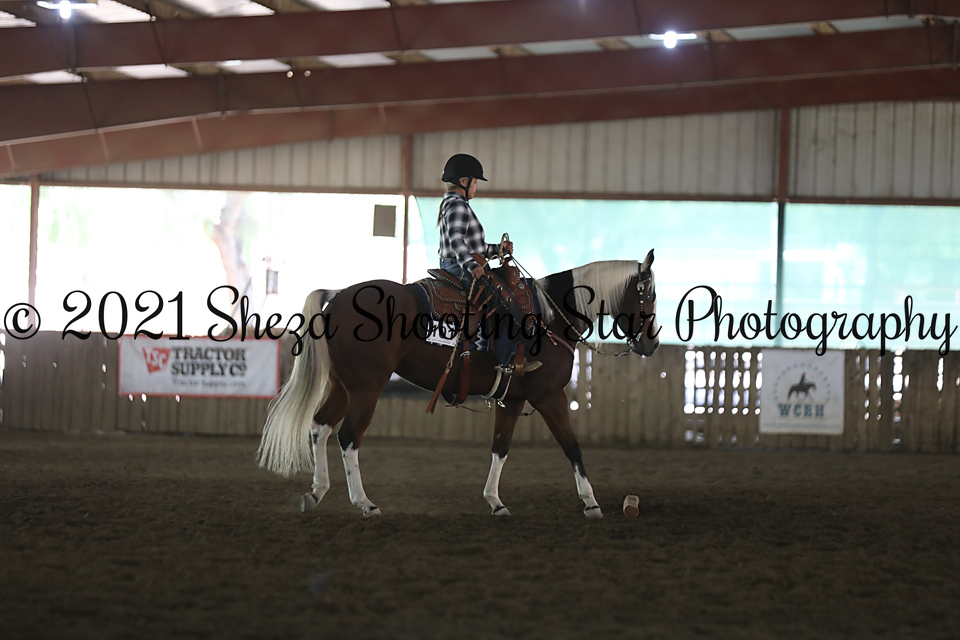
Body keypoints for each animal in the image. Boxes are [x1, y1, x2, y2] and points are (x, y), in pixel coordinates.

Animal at [256, 250, 660, 519]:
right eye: (651, 294)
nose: (651, 344)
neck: (551, 319)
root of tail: (337, 295)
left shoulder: (512, 399)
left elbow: (500, 448)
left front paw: (495, 501)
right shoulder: (550, 396)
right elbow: (572, 446)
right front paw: (591, 502)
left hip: (343, 384)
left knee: (320, 427)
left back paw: (316, 492)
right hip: (366, 388)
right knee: (348, 436)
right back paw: (364, 503)